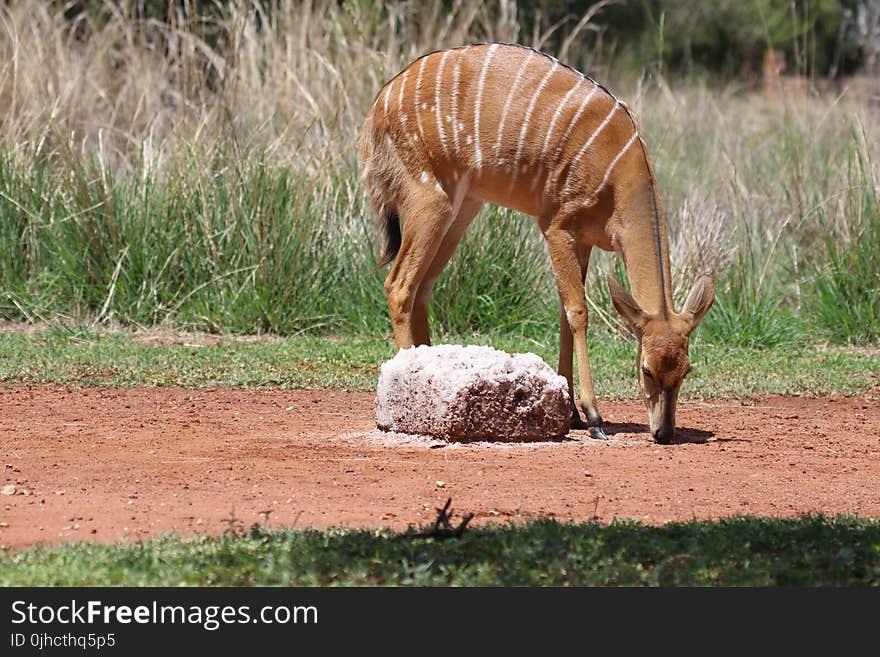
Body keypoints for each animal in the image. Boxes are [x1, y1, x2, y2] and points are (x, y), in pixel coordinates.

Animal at [358, 43, 716, 444]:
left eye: (686, 370)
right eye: (646, 369)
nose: (664, 432)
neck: (619, 175)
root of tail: (377, 106)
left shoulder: (584, 240)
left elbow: (563, 313)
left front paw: (572, 413)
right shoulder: (556, 225)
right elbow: (578, 312)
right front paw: (593, 418)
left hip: (461, 210)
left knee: (422, 287)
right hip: (429, 200)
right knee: (399, 284)